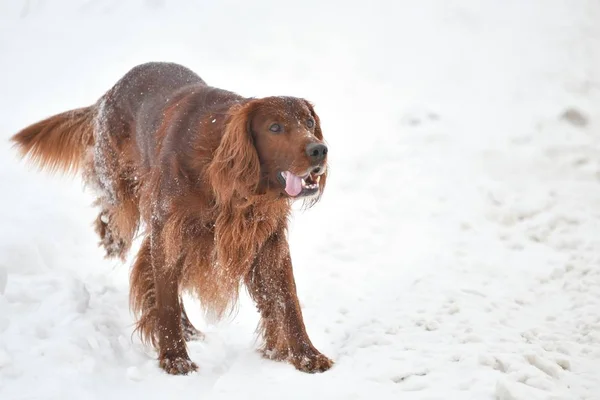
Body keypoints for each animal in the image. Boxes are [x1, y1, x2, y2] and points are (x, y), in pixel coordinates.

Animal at [11, 62, 332, 376]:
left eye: (309, 123)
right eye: (275, 127)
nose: (319, 149)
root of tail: (108, 95)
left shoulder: (266, 239)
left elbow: (287, 299)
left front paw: (306, 355)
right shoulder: (170, 231)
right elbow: (166, 298)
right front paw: (175, 358)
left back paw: (188, 329)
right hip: (125, 191)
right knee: (113, 217)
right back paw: (113, 240)